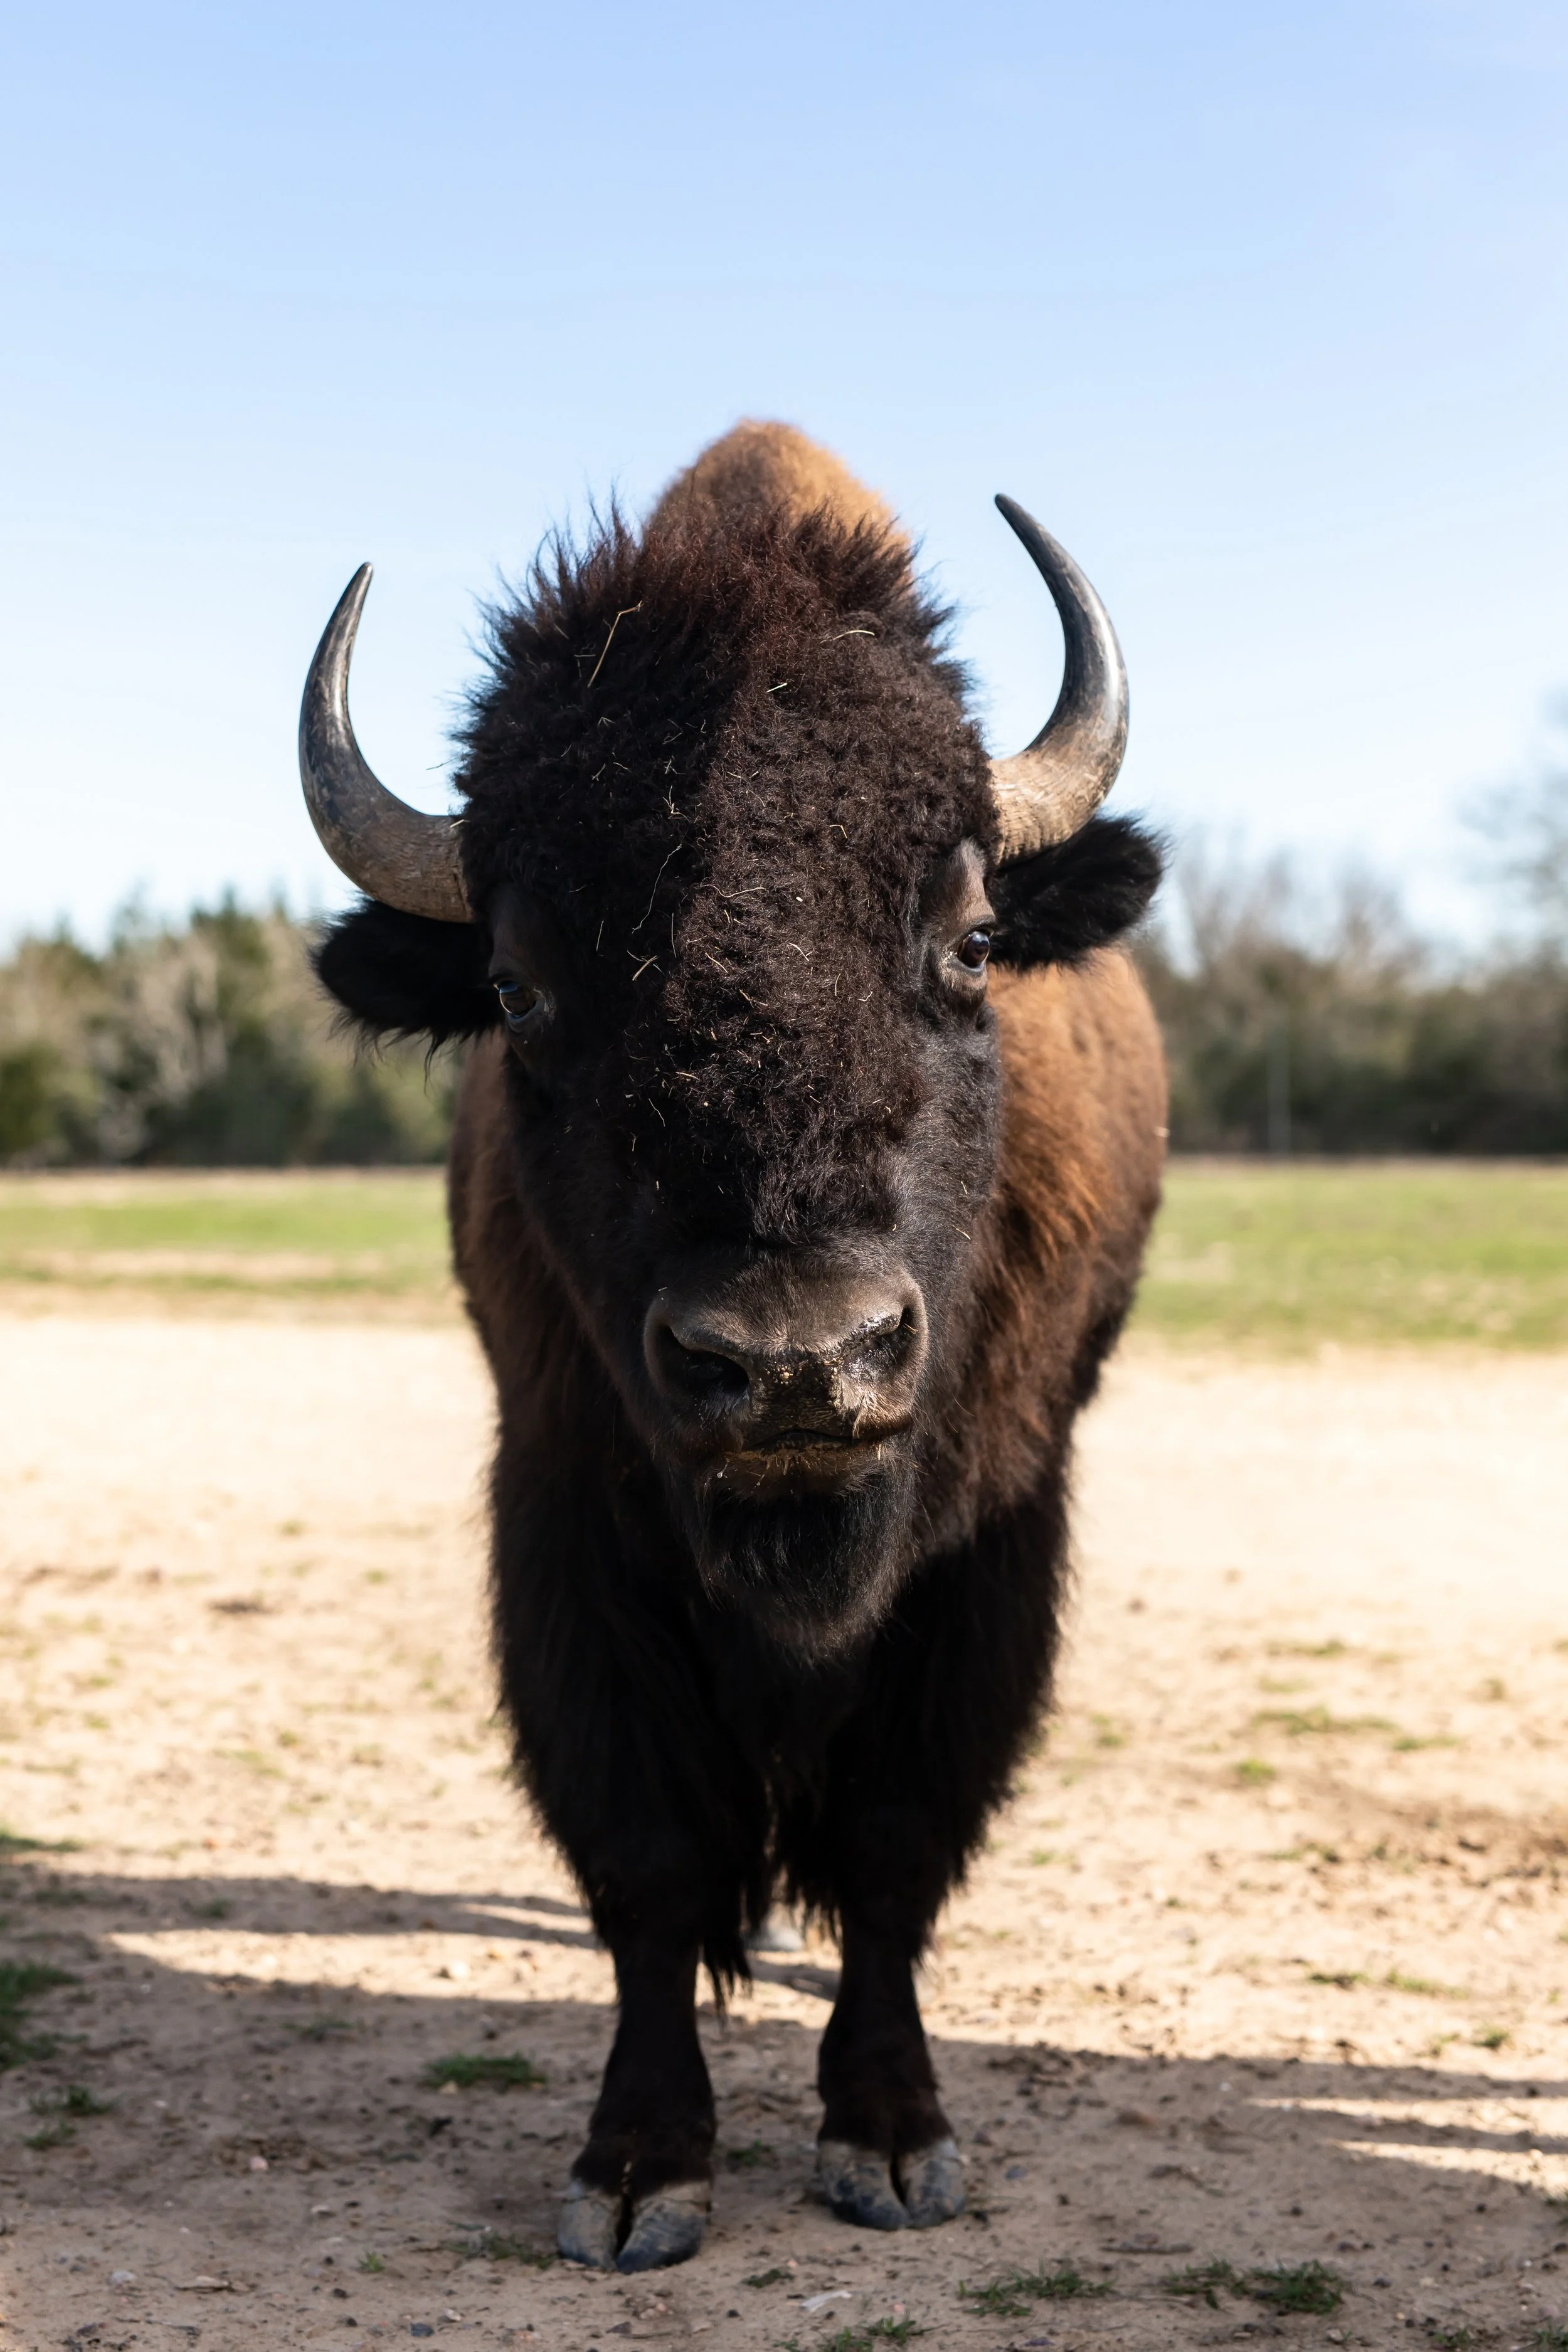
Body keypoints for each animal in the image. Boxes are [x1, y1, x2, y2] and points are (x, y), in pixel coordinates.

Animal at [301, 422, 1166, 2270]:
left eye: (969, 939)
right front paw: (638, 2171)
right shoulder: (566, 1521)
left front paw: (892, 2138)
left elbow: (896, 1844)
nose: (792, 1360)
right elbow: (647, 1859)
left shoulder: (990, 1543)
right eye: (517, 984)